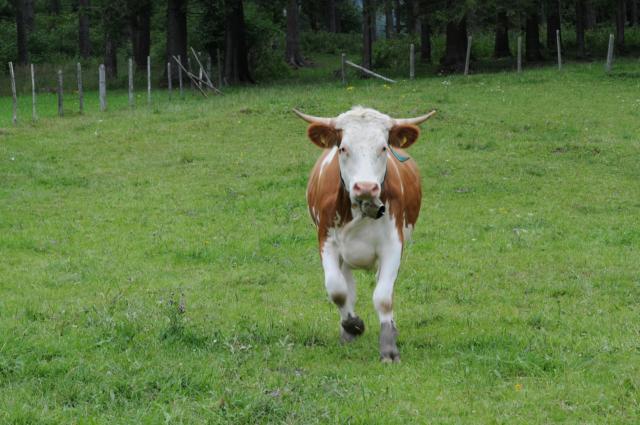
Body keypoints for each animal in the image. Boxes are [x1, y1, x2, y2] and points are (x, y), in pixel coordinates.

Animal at [294, 106, 436, 362]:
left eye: (383, 148)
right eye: (343, 148)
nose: (366, 187)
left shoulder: (393, 245)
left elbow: (384, 297)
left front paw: (389, 347)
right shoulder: (327, 242)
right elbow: (337, 290)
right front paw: (353, 325)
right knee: (346, 285)